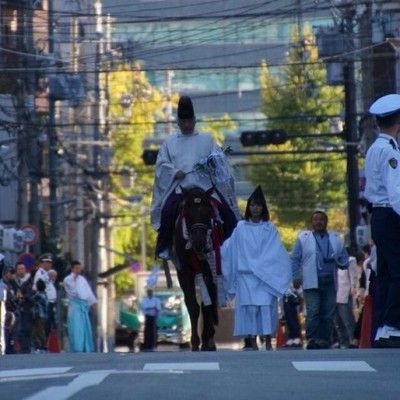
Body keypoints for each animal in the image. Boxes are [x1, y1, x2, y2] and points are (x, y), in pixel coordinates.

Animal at [170, 187, 230, 350]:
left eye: (208, 211)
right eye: (188, 213)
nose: (199, 241)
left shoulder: (210, 268)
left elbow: (207, 306)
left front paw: (206, 342)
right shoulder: (184, 270)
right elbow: (193, 306)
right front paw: (195, 342)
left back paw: (210, 340)